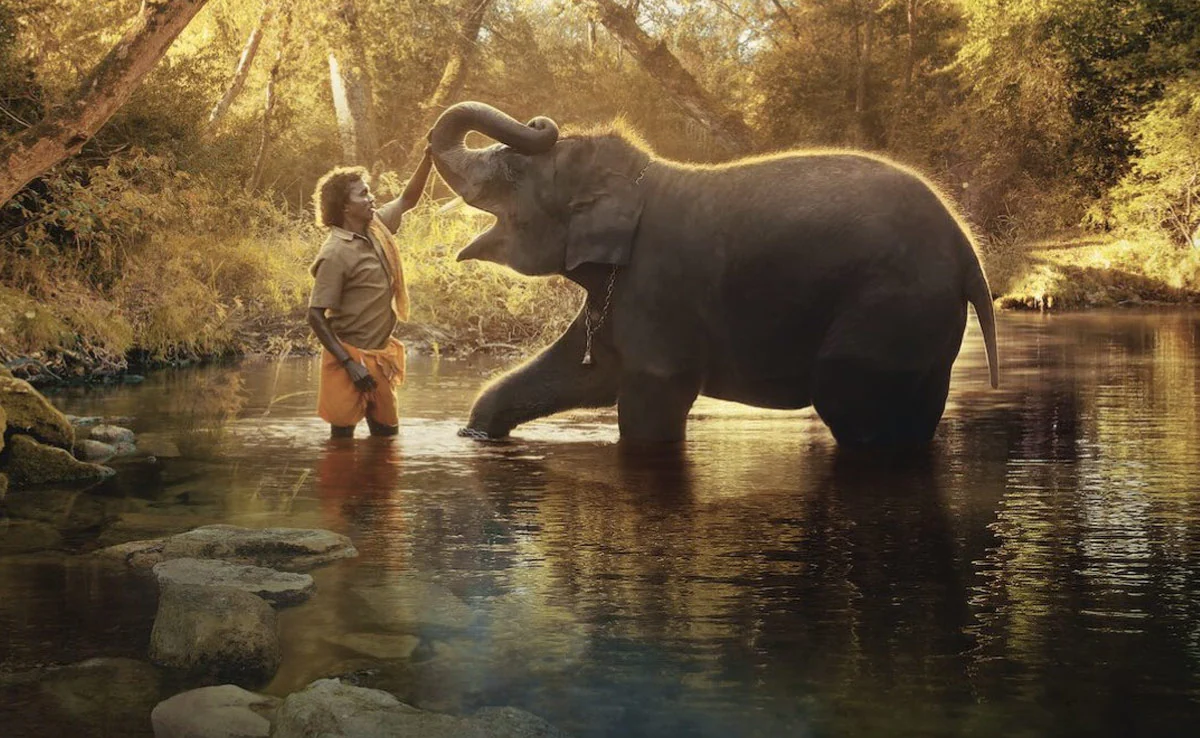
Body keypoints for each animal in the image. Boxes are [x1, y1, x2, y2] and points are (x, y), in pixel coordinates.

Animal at [429, 101, 999, 447]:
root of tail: (968, 252)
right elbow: (583, 372)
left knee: (850, 401)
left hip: (891, 307)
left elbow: (650, 401)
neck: (638, 179)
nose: (540, 123)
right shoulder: (622, 290)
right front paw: (477, 434)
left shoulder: (659, 286)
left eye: (512, 171)